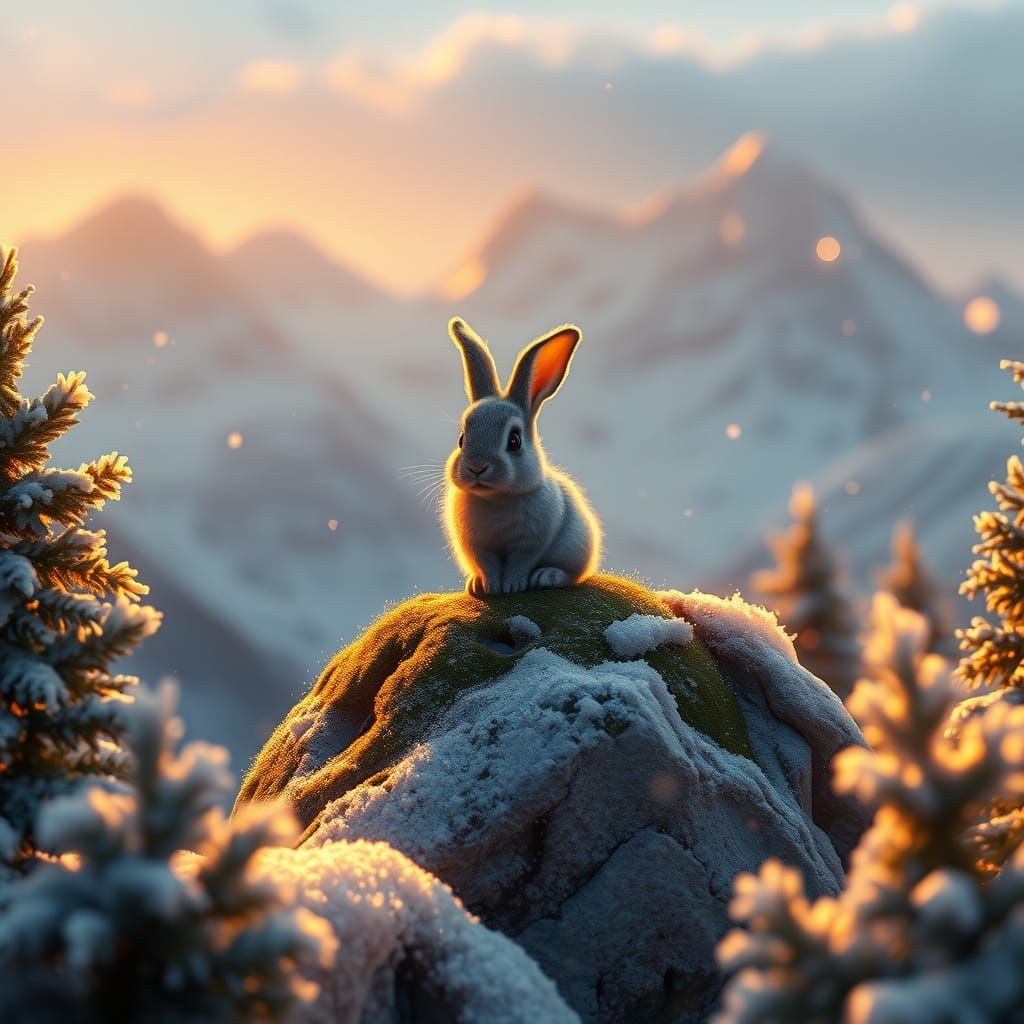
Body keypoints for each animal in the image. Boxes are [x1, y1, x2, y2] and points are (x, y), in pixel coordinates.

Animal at [443, 316, 603, 597]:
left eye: (514, 440)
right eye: (462, 439)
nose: (476, 467)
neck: (495, 499)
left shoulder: (530, 542)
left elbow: (520, 562)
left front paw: (512, 586)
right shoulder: (479, 545)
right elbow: (489, 564)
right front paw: (488, 586)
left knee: (572, 573)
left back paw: (546, 576)